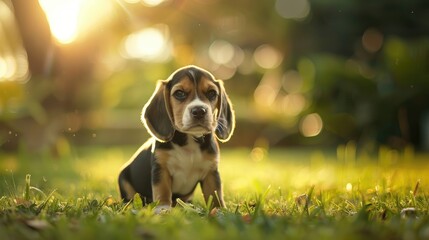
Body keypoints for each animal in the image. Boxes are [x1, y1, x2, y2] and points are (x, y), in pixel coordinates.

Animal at [118, 64, 234, 209]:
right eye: (179, 93)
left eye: (212, 93)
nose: (199, 111)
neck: (189, 140)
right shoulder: (161, 169)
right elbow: (162, 190)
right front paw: (162, 208)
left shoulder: (211, 172)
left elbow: (215, 193)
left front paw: (219, 210)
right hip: (123, 179)